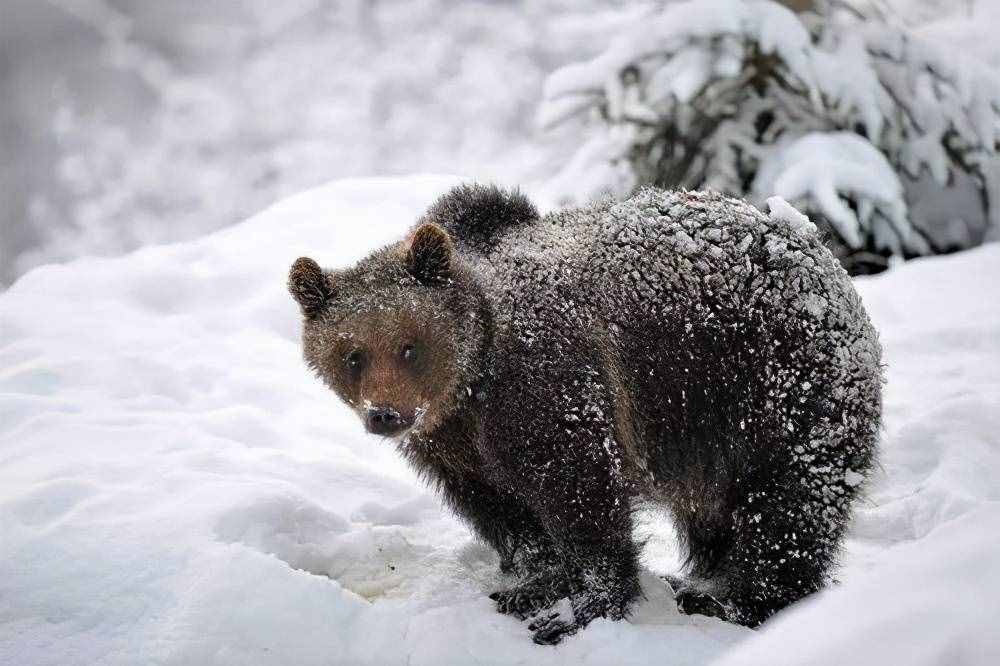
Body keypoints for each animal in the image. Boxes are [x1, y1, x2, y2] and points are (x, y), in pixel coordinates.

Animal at [290, 183, 884, 644]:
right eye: (352, 353)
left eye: (409, 345)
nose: (386, 414)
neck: (470, 385)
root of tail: (822, 253)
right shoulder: (455, 448)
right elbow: (503, 510)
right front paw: (534, 582)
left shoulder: (547, 383)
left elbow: (579, 493)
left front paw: (578, 608)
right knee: (718, 512)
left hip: (771, 382)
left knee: (788, 505)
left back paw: (737, 600)